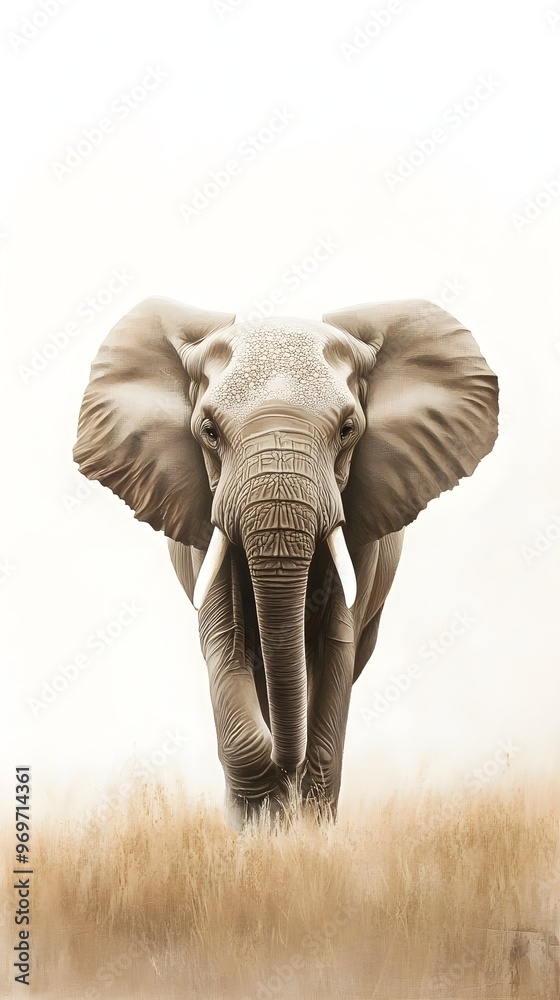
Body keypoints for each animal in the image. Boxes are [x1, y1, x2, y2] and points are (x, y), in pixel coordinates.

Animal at [73, 296, 498, 825]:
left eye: (348, 429)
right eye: (208, 431)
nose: (285, 766)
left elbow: (336, 650)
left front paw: (307, 828)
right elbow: (225, 640)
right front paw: (261, 823)